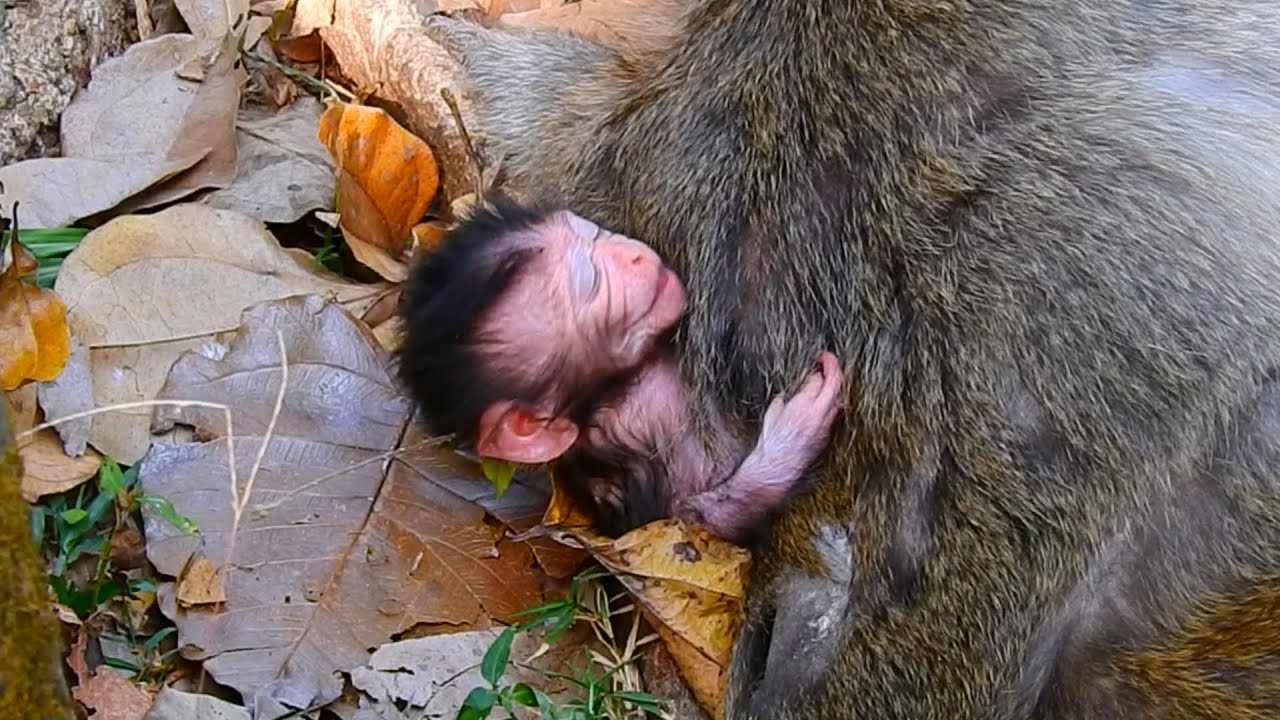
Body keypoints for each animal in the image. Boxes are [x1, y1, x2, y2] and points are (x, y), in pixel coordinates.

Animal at [397, 198, 844, 543]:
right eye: (593, 282)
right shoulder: (628, 431)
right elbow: (687, 526)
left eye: (591, 233)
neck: (621, 383)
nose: (634, 253)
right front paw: (793, 436)